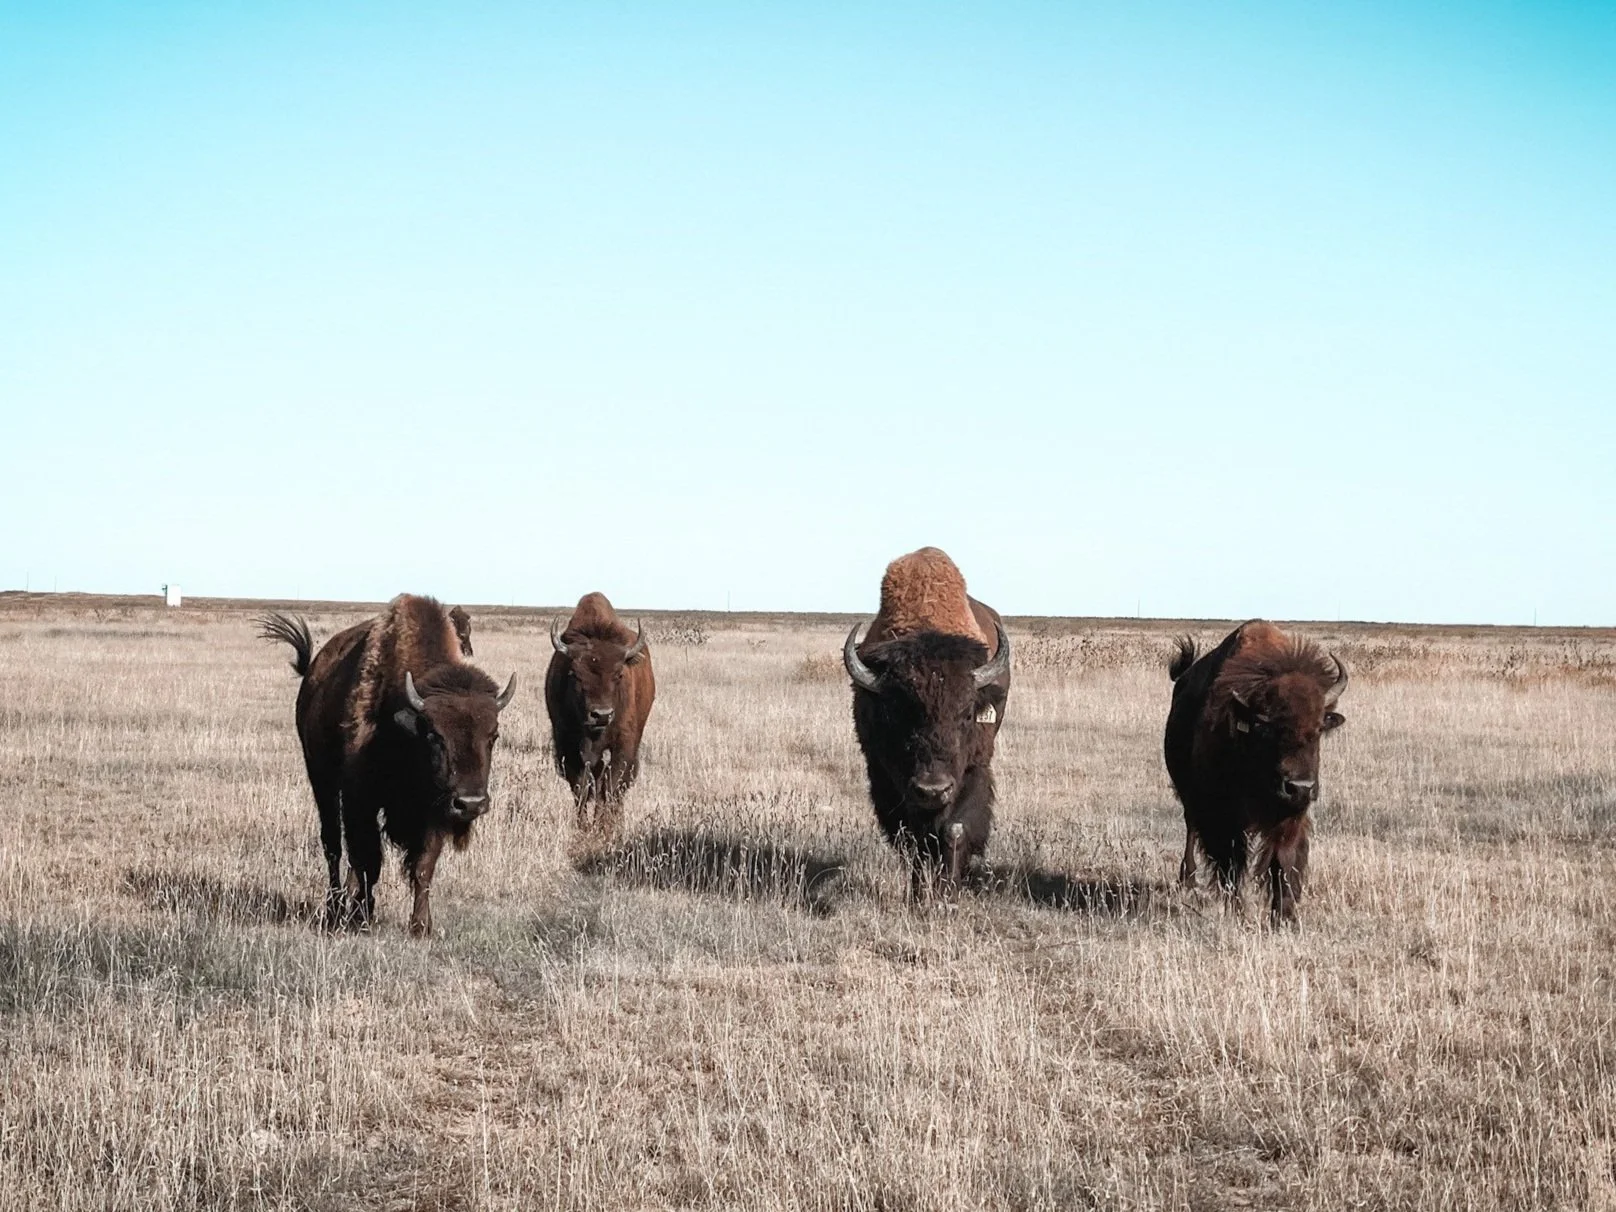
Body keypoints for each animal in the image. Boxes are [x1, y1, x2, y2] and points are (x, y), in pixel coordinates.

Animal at [258, 594, 516, 936]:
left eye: (493, 735)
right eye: (434, 735)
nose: (470, 803)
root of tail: (313, 672)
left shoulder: (434, 809)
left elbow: (423, 867)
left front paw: (421, 926)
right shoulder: (362, 799)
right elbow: (370, 860)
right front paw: (362, 918)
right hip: (322, 779)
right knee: (333, 845)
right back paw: (336, 909)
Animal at [545, 592, 656, 835]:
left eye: (619, 674)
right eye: (575, 674)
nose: (601, 715)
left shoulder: (623, 744)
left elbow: (611, 786)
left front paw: (604, 826)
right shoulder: (567, 745)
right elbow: (581, 787)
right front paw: (584, 826)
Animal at [842, 547, 1011, 899]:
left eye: (966, 715)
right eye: (896, 714)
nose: (933, 789)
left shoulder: (973, 769)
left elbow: (955, 829)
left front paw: (948, 893)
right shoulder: (886, 779)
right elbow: (913, 839)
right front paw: (919, 895)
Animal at [1164, 619, 1347, 924]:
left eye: (1319, 727)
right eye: (1267, 727)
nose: (1299, 786)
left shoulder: (1289, 814)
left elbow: (1283, 861)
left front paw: (1284, 917)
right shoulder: (1220, 812)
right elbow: (1230, 862)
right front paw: (1238, 911)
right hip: (1188, 795)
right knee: (1192, 829)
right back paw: (1188, 880)